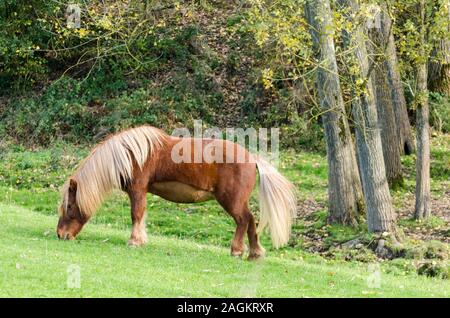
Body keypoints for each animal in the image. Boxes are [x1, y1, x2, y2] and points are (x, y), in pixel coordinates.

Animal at [58, 125, 298, 260]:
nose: (61, 235)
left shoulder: (137, 190)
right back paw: (255, 252)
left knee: (243, 221)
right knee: (251, 221)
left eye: (69, 206)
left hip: (232, 201)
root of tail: (252, 158)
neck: (131, 154)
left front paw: (134, 241)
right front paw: (141, 239)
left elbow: (136, 214)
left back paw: (237, 250)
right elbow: (142, 215)